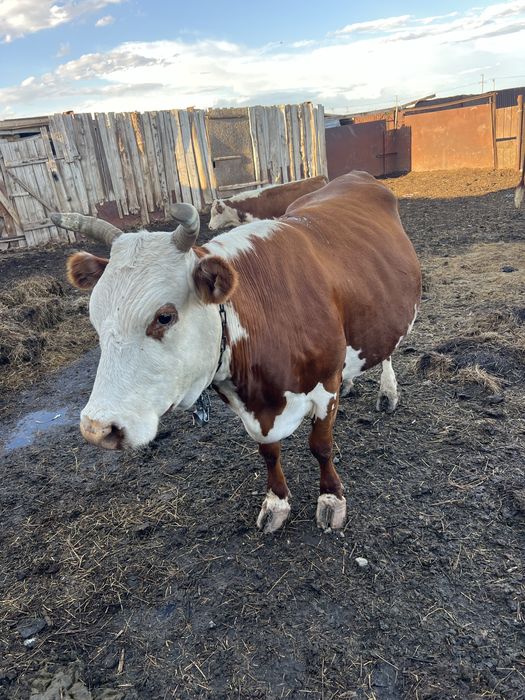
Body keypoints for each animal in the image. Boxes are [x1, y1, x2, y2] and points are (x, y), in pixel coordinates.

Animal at [51, 171, 421, 534]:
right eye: (94, 316)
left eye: (164, 316)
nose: (97, 429)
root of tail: (355, 176)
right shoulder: (253, 411)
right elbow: (269, 453)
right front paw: (276, 503)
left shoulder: (324, 386)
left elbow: (321, 446)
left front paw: (331, 499)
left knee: (387, 352)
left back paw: (388, 393)